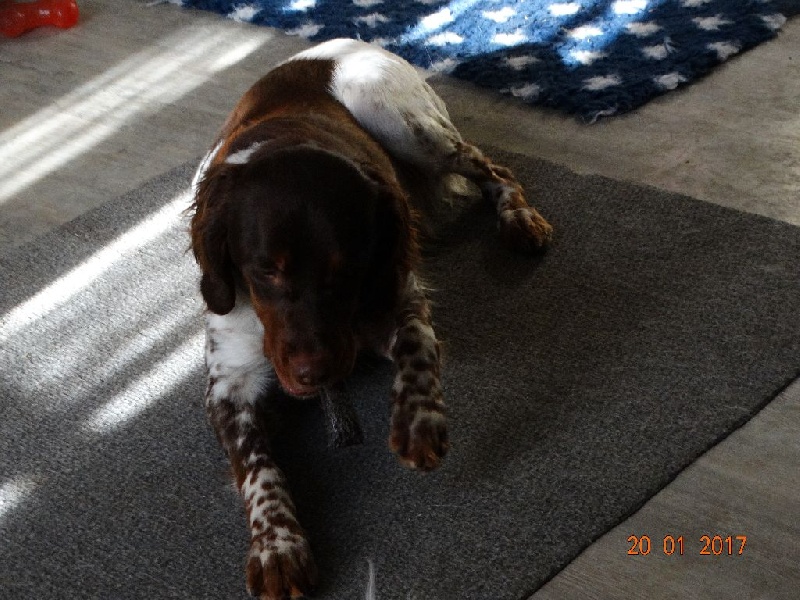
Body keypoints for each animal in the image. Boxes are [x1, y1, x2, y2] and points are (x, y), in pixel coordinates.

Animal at [190, 38, 552, 600]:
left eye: (347, 269)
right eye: (265, 270)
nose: (315, 374)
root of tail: (342, 42)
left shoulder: (397, 298)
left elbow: (418, 349)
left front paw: (419, 425)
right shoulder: (231, 379)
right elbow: (256, 464)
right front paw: (277, 547)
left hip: (398, 117)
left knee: (493, 171)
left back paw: (519, 220)